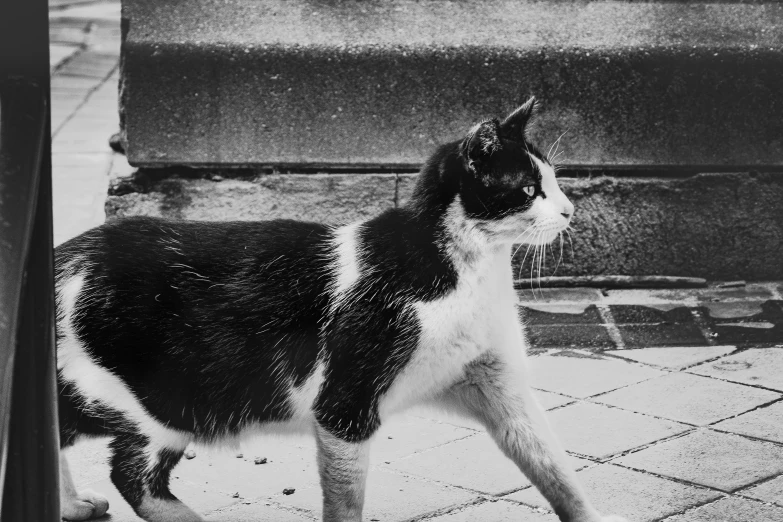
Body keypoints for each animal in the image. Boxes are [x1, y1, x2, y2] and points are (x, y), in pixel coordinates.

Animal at [56, 98, 632, 520]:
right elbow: (346, 501)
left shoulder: (499, 383)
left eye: (554, 181)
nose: (570, 210)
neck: (467, 269)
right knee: (132, 476)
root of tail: (67, 257)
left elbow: (551, 462)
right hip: (165, 403)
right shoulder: (345, 407)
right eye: (529, 189)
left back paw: (73, 506)